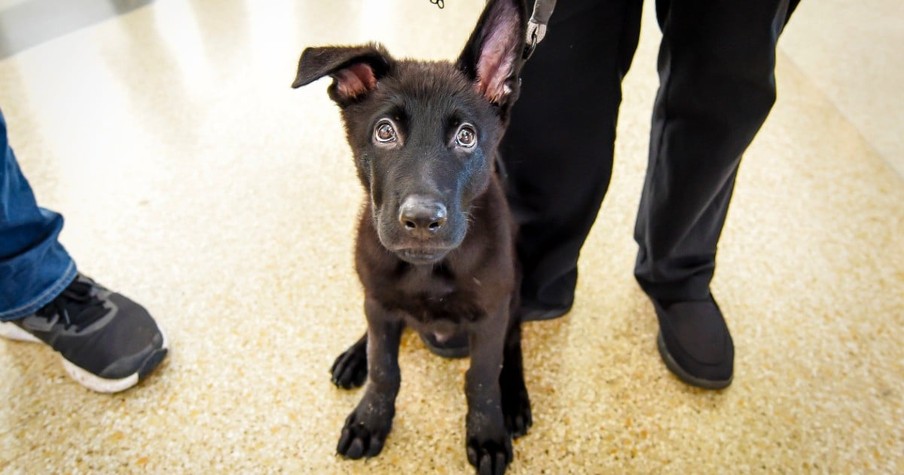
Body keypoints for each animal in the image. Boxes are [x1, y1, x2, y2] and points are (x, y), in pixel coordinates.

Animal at [290, 1, 528, 474]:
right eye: (385, 131)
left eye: (466, 136)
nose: (420, 219)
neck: (426, 269)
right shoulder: (379, 302)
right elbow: (384, 367)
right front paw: (370, 420)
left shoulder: (491, 315)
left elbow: (481, 378)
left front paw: (488, 433)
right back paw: (354, 356)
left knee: (514, 345)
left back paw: (514, 399)